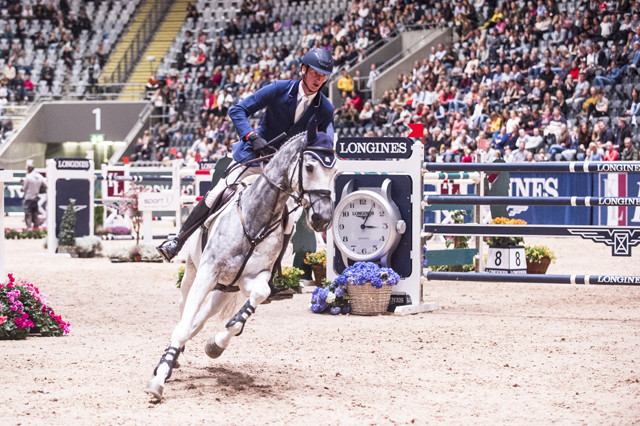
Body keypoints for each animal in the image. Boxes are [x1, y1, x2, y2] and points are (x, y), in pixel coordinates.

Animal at [145, 128, 336, 402]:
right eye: (309, 167)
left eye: (335, 171)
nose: (323, 219)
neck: (257, 219)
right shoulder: (208, 272)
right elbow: (183, 325)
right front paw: (159, 380)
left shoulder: (253, 278)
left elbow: (256, 299)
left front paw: (216, 344)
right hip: (193, 273)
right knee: (184, 310)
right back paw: (173, 357)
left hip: (225, 289)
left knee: (201, 318)